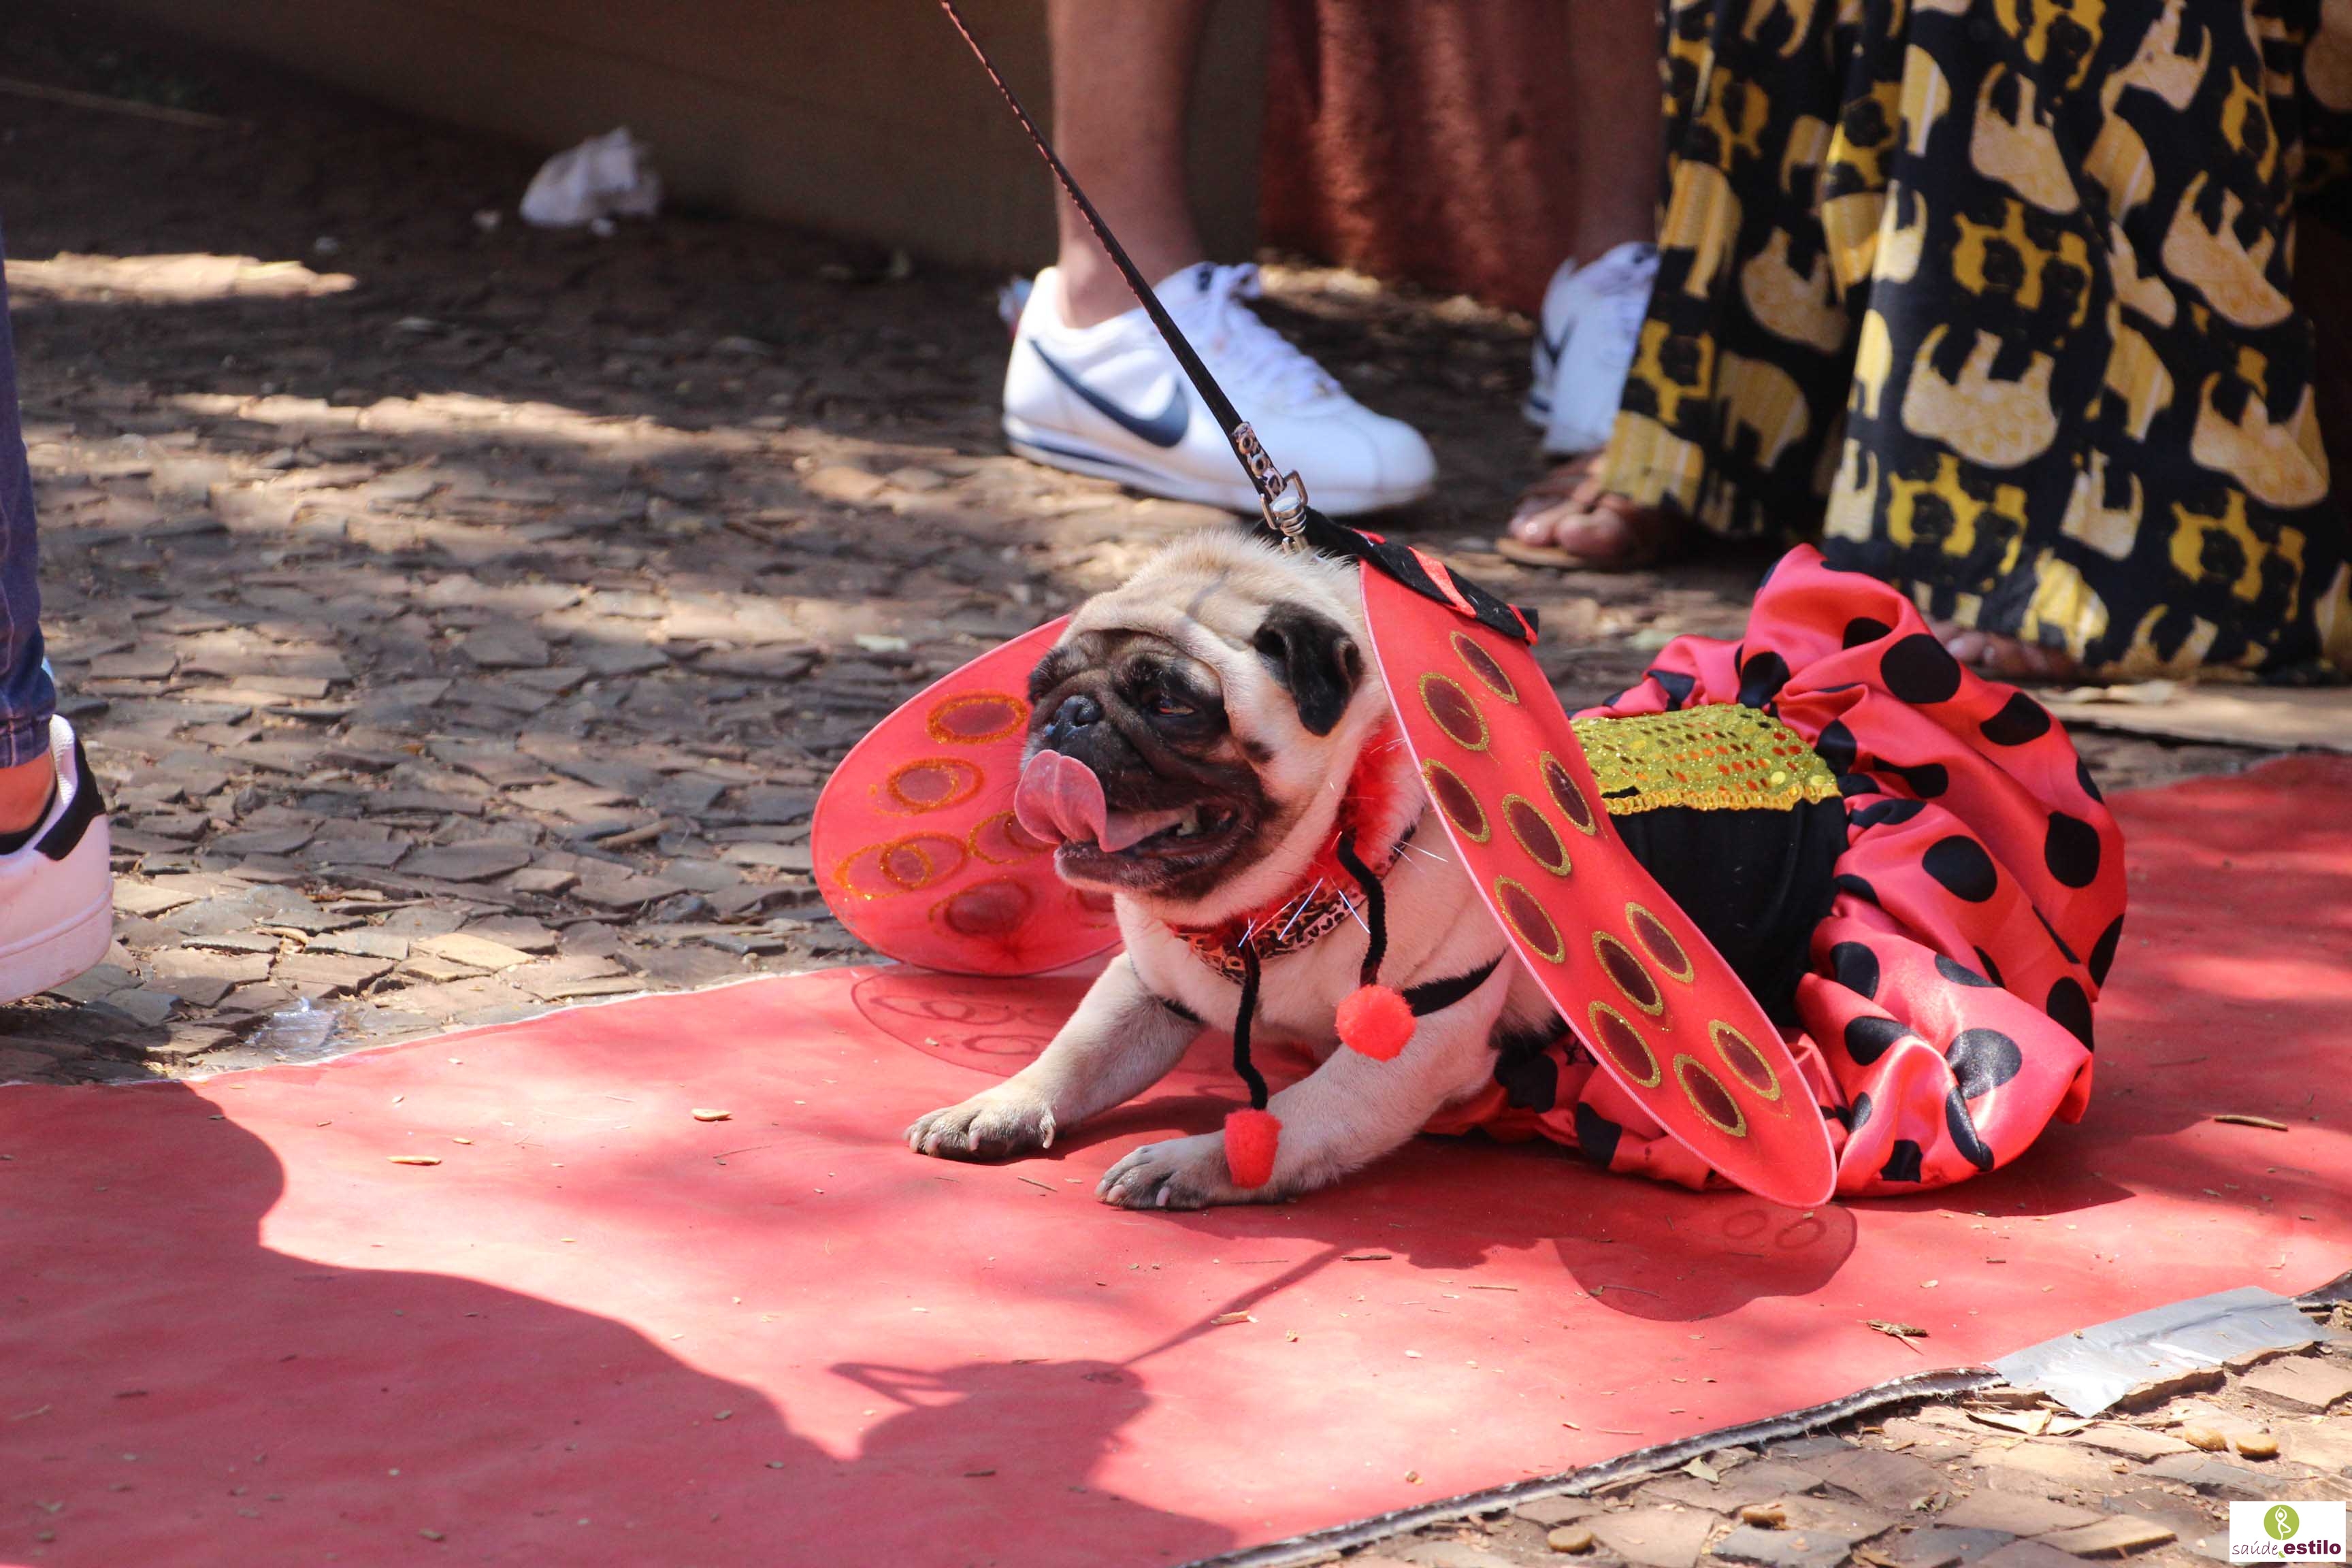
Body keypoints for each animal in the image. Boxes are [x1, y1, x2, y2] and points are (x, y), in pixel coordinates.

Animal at [903, 531, 1556, 1209]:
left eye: (1170, 704)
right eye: (1041, 692)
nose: (1071, 713)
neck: (1274, 906)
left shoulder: (1415, 1035)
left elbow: (1300, 1114)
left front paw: (1194, 1161)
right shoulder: (1146, 987)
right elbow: (1075, 1054)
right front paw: (1003, 1104)